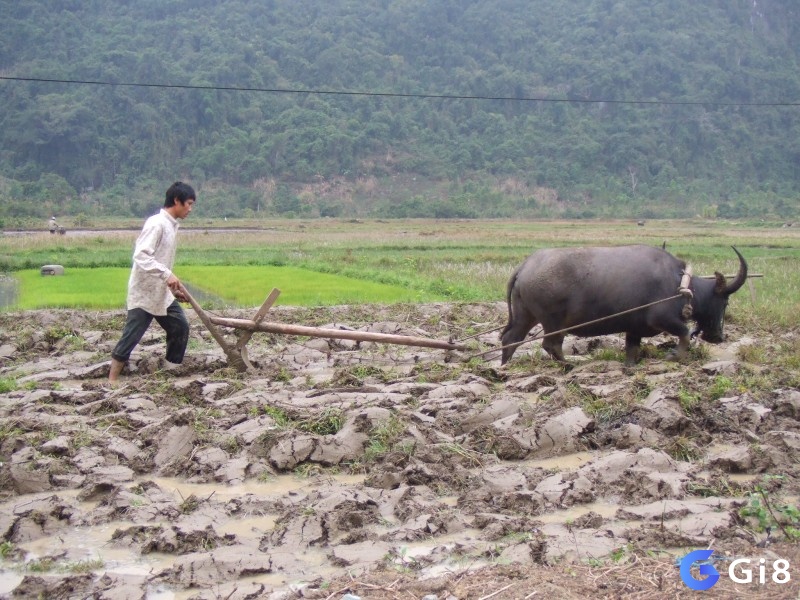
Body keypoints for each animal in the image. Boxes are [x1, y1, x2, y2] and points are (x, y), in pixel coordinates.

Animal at [504, 244, 748, 366]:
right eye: (724, 301)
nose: (718, 337)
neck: (680, 285)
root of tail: (525, 266)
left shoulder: (634, 329)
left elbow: (632, 350)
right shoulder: (662, 319)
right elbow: (685, 333)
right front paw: (674, 356)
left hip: (525, 316)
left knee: (510, 338)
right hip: (554, 322)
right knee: (550, 344)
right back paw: (569, 364)